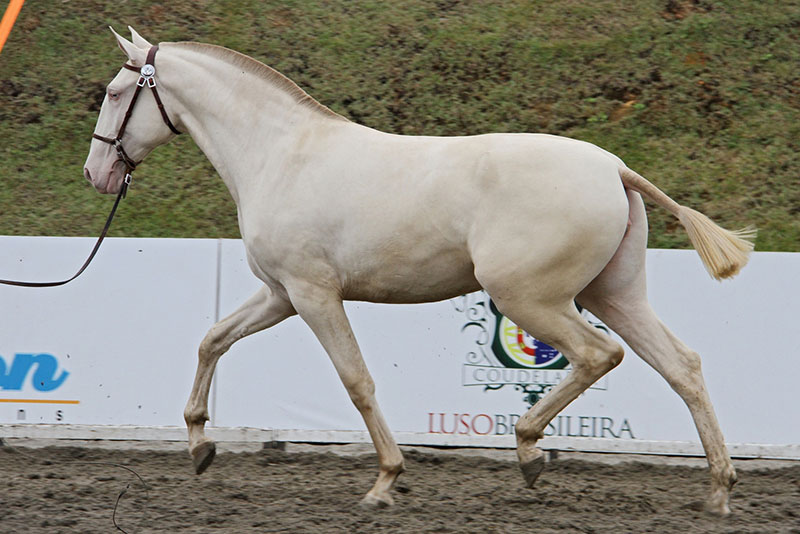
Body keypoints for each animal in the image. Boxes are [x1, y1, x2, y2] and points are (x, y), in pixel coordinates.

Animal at [84, 27, 752, 516]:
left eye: (115, 94)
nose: (97, 173)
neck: (280, 156)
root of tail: (614, 167)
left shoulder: (313, 294)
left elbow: (357, 381)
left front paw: (385, 481)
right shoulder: (280, 293)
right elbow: (212, 339)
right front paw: (201, 444)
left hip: (530, 299)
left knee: (599, 355)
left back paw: (530, 450)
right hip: (614, 295)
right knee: (682, 367)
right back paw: (717, 491)